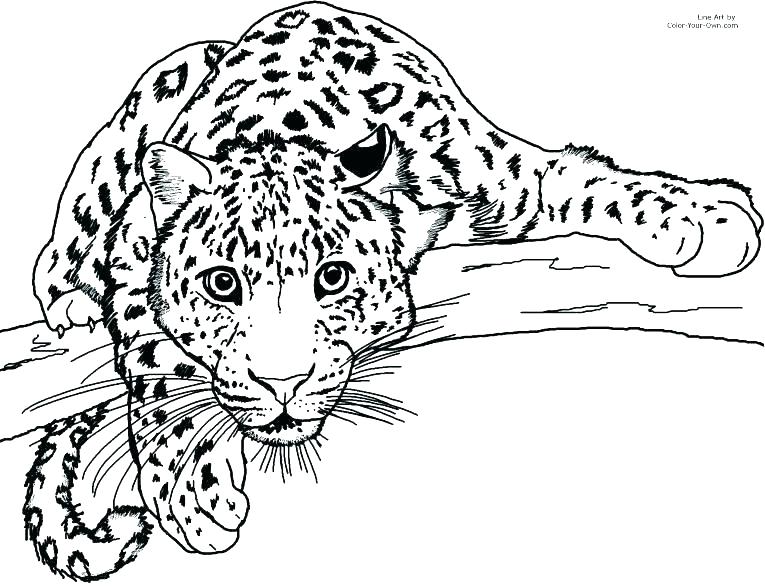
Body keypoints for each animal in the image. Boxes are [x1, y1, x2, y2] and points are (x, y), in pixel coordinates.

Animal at [24, 1, 762, 581]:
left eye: (332, 277)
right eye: (222, 284)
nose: (281, 384)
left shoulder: (510, 177)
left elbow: (596, 182)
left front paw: (705, 215)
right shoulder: (131, 246)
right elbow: (155, 361)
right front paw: (194, 491)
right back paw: (65, 294)